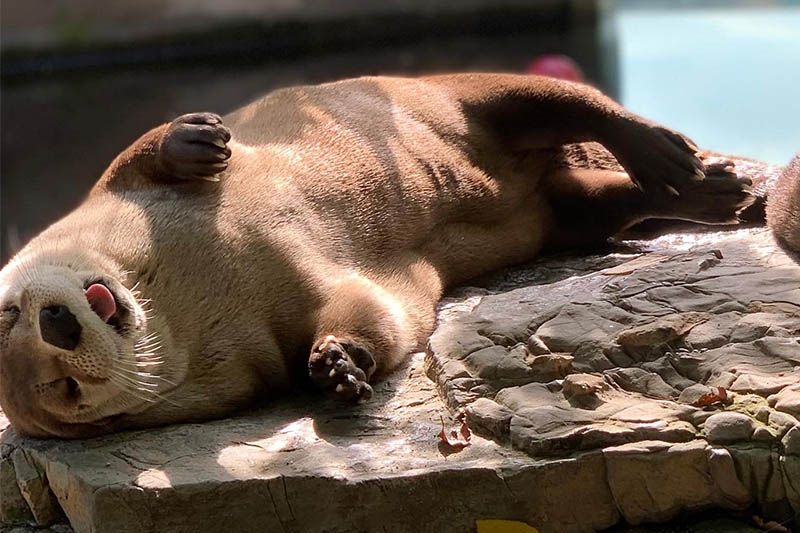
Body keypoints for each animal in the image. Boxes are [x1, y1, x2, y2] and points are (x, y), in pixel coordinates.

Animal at [0, 74, 756, 438]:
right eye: (63, 388)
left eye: (9, 312)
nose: (60, 324)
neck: (188, 287)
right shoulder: (258, 347)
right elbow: (375, 310)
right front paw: (340, 363)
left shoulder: (106, 196)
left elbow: (137, 154)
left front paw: (197, 140)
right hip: (557, 214)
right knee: (602, 201)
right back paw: (716, 190)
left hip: (451, 94)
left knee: (564, 101)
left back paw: (677, 158)